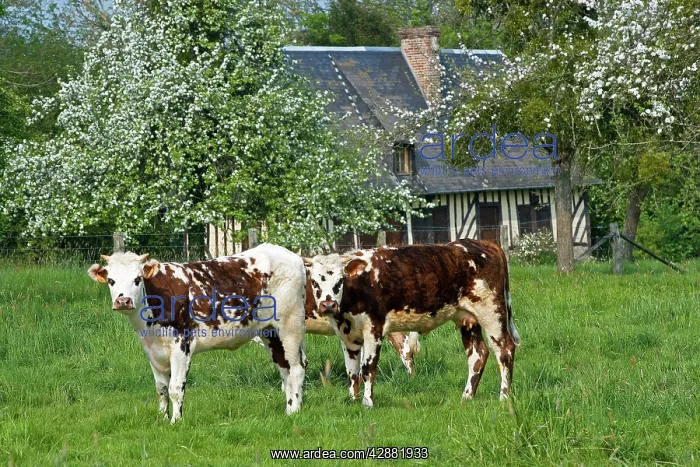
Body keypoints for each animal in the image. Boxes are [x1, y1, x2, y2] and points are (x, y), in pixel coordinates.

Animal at [87, 243, 307, 423]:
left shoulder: (181, 346)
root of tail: (292, 256)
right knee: (284, 368)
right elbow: (161, 389)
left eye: (137, 279)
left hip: (290, 326)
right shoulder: (152, 352)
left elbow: (176, 389)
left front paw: (175, 421)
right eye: (111, 280)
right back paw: (288, 410)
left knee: (297, 367)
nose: (123, 301)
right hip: (270, 332)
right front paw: (162, 418)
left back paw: (295, 411)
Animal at [305, 239, 520, 408]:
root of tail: (486, 244)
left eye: (339, 280)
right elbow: (352, 372)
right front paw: (353, 401)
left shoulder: (374, 329)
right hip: (467, 319)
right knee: (477, 354)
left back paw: (504, 397)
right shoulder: (347, 336)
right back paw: (467, 397)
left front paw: (368, 403)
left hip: (492, 313)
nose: (328, 305)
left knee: (504, 350)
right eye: (315, 282)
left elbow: (367, 368)